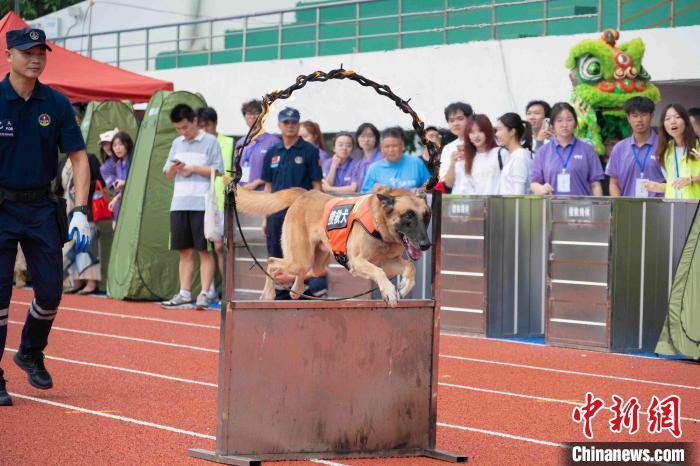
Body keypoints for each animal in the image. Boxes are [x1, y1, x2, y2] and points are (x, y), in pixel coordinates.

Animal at [235, 186, 432, 306]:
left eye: (426, 216)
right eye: (408, 216)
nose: (426, 245)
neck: (380, 226)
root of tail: (305, 193)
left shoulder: (389, 262)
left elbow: (410, 266)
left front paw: (405, 286)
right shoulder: (357, 262)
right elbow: (379, 272)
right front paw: (389, 291)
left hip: (315, 263)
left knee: (305, 271)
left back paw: (296, 290)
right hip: (300, 260)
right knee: (272, 262)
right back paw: (269, 295)